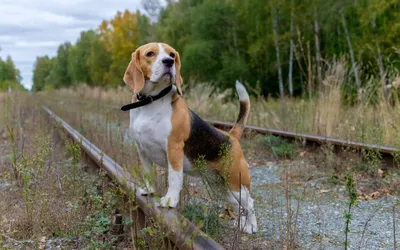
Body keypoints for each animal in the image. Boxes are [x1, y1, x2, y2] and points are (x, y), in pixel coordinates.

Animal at [122, 42, 256, 233]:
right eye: (150, 53)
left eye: (172, 54)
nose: (168, 62)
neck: (151, 102)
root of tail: (231, 136)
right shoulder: (142, 150)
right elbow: (148, 173)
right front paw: (149, 190)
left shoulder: (174, 149)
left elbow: (174, 178)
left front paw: (170, 201)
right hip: (221, 187)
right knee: (239, 206)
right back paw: (244, 226)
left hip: (236, 182)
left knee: (249, 203)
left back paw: (251, 227)